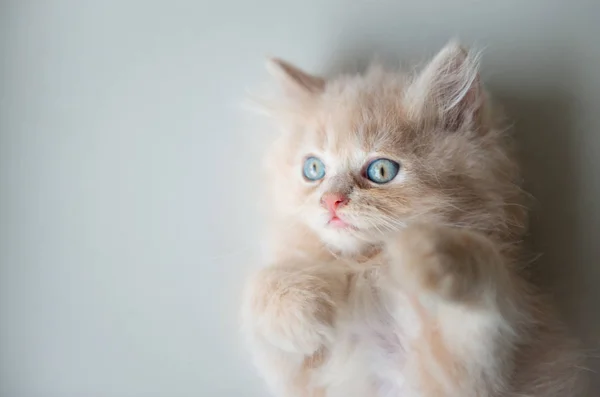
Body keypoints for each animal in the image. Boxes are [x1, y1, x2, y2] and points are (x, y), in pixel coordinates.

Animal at [240, 41, 584, 394]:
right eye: (313, 169)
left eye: (381, 171)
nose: (330, 200)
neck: (365, 268)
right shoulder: (295, 377)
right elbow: (258, 287)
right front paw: (307, 311)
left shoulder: (465, 376)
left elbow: (482, 276)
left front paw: (427, 252)